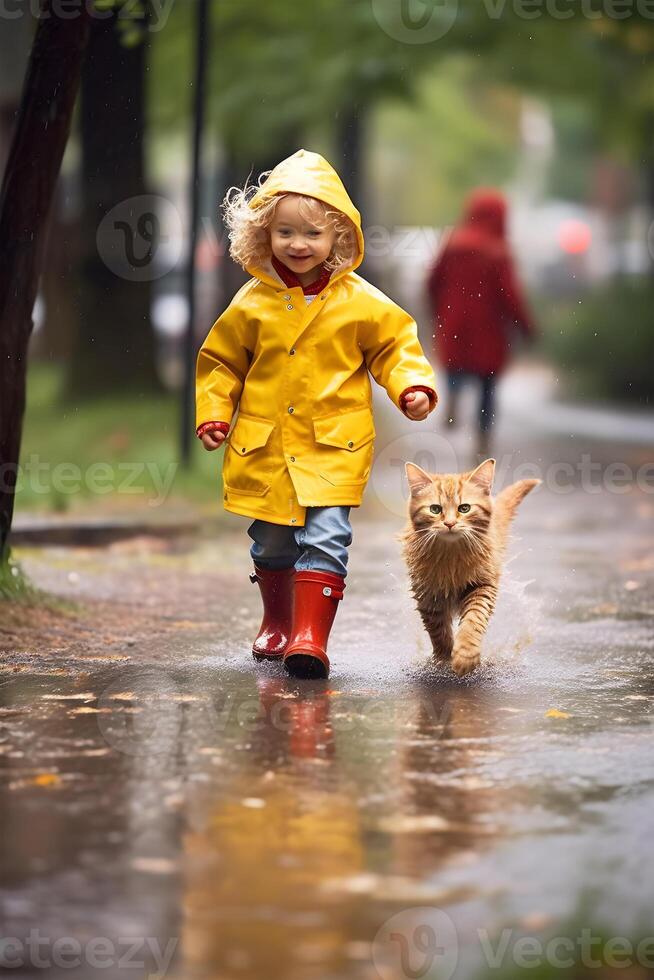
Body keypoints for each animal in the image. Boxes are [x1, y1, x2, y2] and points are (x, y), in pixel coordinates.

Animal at [402, 458, 540, 672]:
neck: (451, 557)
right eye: (435, 509)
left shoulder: (483, 586)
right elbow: (439, 632)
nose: (449, 523)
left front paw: (466, 655)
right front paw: (444, 659)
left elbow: (474, 620)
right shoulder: (427, 594)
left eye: (464, 508)